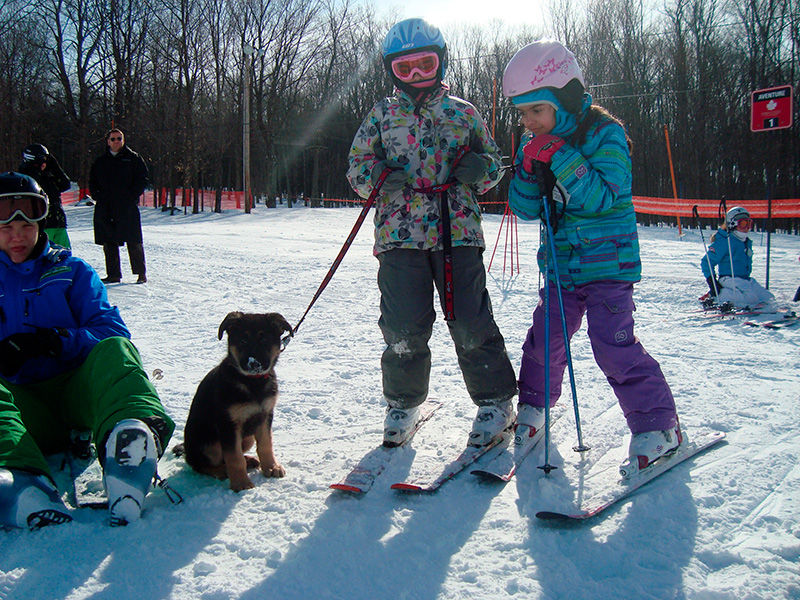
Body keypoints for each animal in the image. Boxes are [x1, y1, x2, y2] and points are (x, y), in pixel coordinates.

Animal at [175, 312, 294, 490]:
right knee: (200, 464)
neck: (253, 383)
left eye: (264, 340)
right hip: (208, 444)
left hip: (248, 437)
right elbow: (234, 456)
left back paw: (249, 460)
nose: (254, 364)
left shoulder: (265, 416)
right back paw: (221, 470)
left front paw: (271, 467)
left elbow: (266, 445)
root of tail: (186, 449)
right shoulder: (228, 424)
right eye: (243, 341)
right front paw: (241, 483)